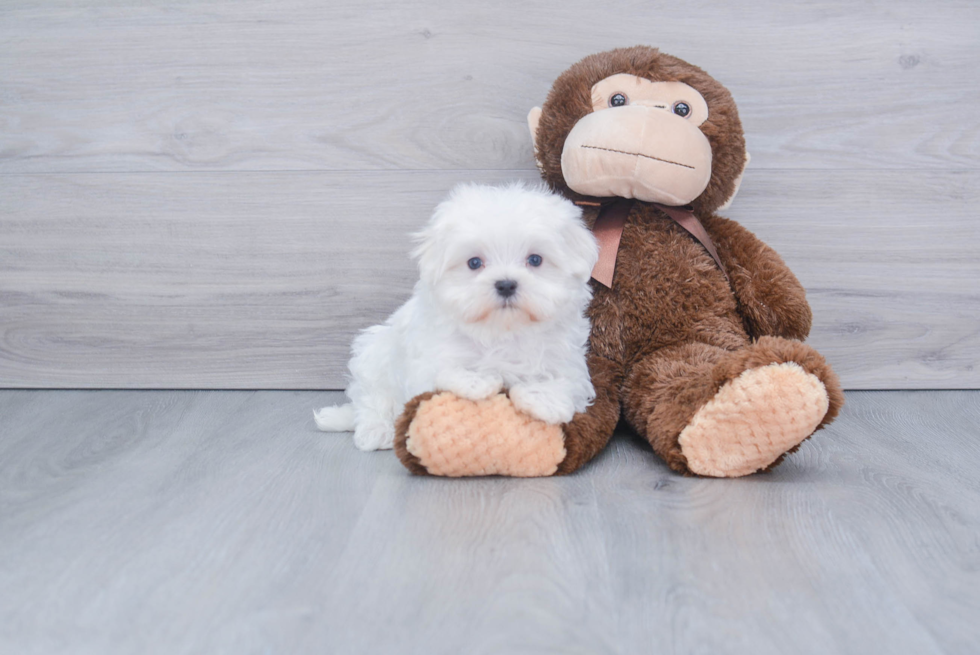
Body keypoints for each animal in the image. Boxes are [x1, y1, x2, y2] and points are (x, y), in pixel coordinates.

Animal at [318, 183, 600, 452]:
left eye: (535, 259)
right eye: (474, 263)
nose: (506, 284)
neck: (502, 331)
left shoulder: (568, 359)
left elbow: (566, 379)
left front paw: (543, 399)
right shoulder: (428, 356)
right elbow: (443, 368)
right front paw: (476, 380)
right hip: (374, 356)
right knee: (372, 400)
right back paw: (376, 431)